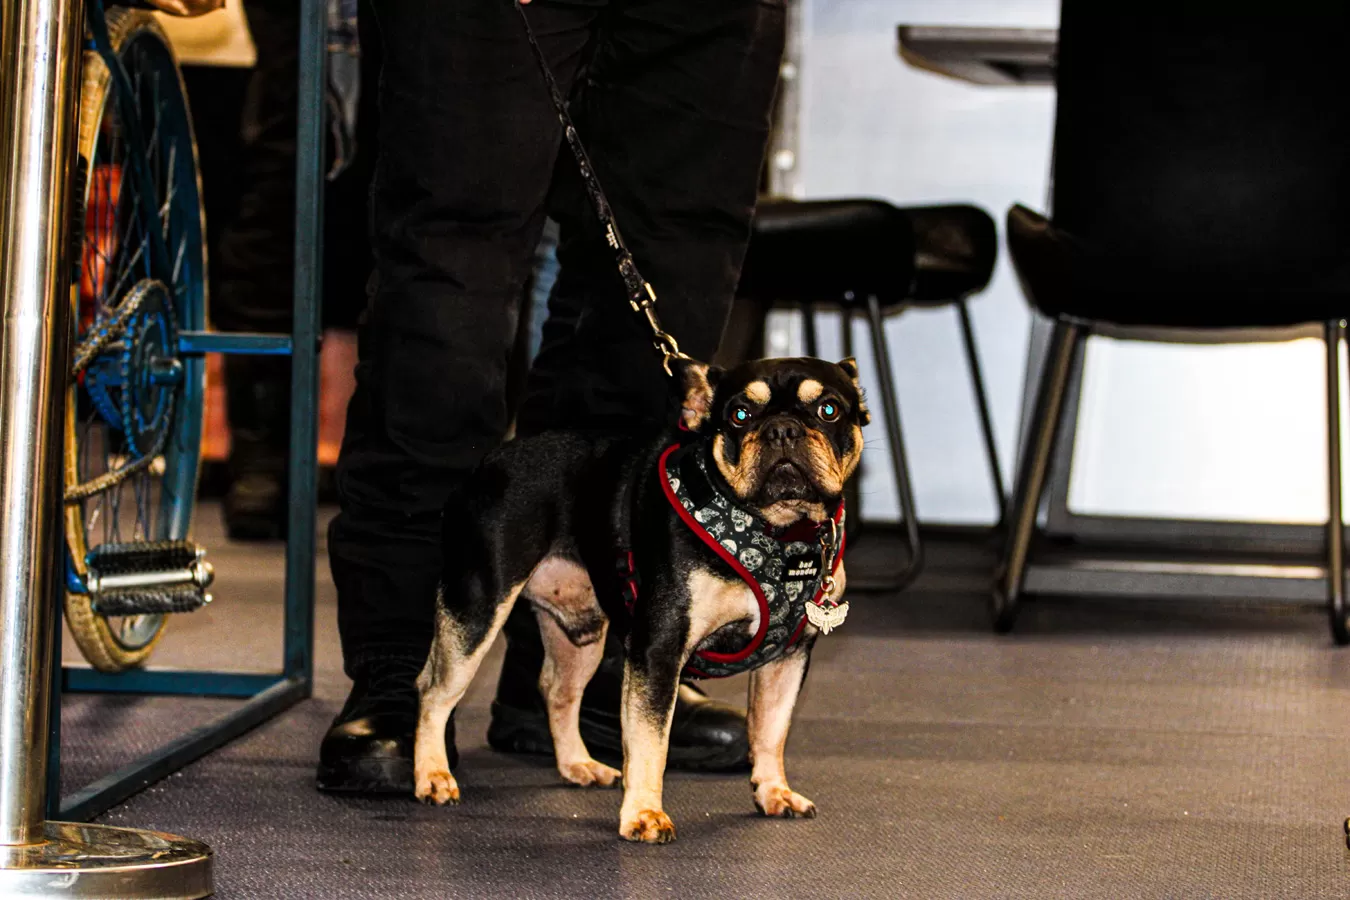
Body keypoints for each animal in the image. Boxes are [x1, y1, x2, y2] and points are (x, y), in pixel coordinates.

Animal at [413, 355, 869, 843]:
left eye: (828, 410)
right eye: (740, 414)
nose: (782, 429)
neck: (780, 531)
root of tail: (489, 464)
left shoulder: (788, 658)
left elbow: (770, 729)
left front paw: (773, 791)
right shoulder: (659, 650)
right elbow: (651, 741)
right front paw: (645, 813)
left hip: (582, 632)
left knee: (558, 690)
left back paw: (577, 763)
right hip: (477, 607)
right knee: (435, 691)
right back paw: (432, 775)